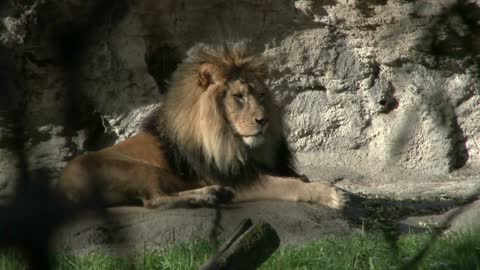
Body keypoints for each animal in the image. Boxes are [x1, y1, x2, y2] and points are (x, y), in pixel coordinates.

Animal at [58, 42, 346, 209]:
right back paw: (210, 195)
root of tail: (62, 189)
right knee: (153, 201)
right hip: (138, 170)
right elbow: (288, 185)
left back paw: (213, 195)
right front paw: (331, 194)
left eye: (262, 95)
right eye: (239, 96)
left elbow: (293, 177)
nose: (263, 120)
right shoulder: (239, 181)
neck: (236, 143)